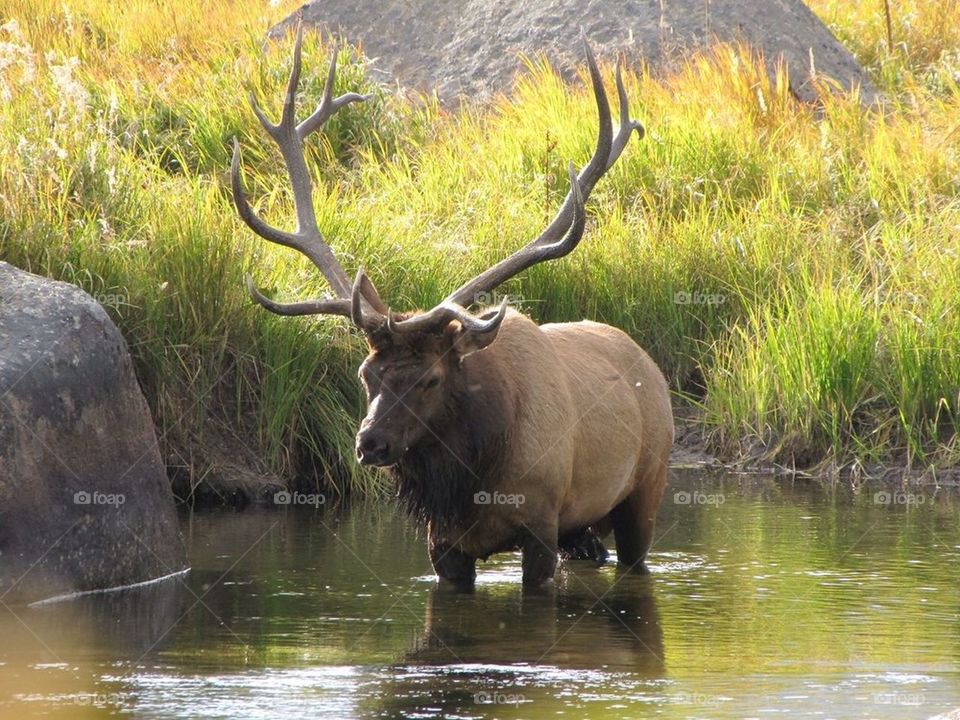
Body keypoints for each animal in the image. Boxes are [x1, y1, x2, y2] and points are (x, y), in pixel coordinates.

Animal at [231, 24, 673, 586]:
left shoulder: (542, 524)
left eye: (430, 379)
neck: (474, 479)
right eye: (365, 374)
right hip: (582, 529)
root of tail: (651, 366)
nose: (369, 443)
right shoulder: (442, 545)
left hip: (647, 487)